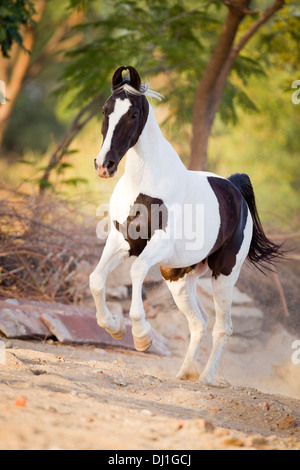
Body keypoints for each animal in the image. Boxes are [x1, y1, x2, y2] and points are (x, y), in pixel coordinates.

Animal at [90, 66, 282, 384]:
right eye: (106, 110)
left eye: (133, 114)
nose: (104, 165)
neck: (143, 183)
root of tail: (234, 187)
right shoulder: (121, 241)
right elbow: (96, 279)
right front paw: (114, 327)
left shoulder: (158, 244)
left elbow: (136, 270)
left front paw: (141, 337)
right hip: (179, 278)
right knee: (198, 323)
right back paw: (184, 373)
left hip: (224, 276)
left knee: (222, 327)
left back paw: (205, 378)